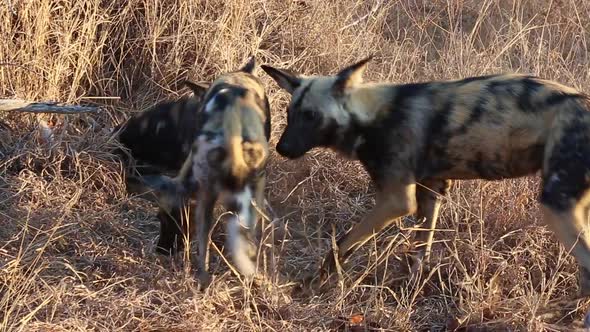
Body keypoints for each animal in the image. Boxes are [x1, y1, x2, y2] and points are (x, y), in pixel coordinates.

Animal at [264, 57, 590, 296]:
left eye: (311, 116)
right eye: (289, 113)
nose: (281, 148)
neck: (372, 116)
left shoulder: (396, 200)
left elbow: (339, 246)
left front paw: (311, 284)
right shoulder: (432, 190)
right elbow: (421, 250)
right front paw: (410, 289)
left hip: (557, 204)